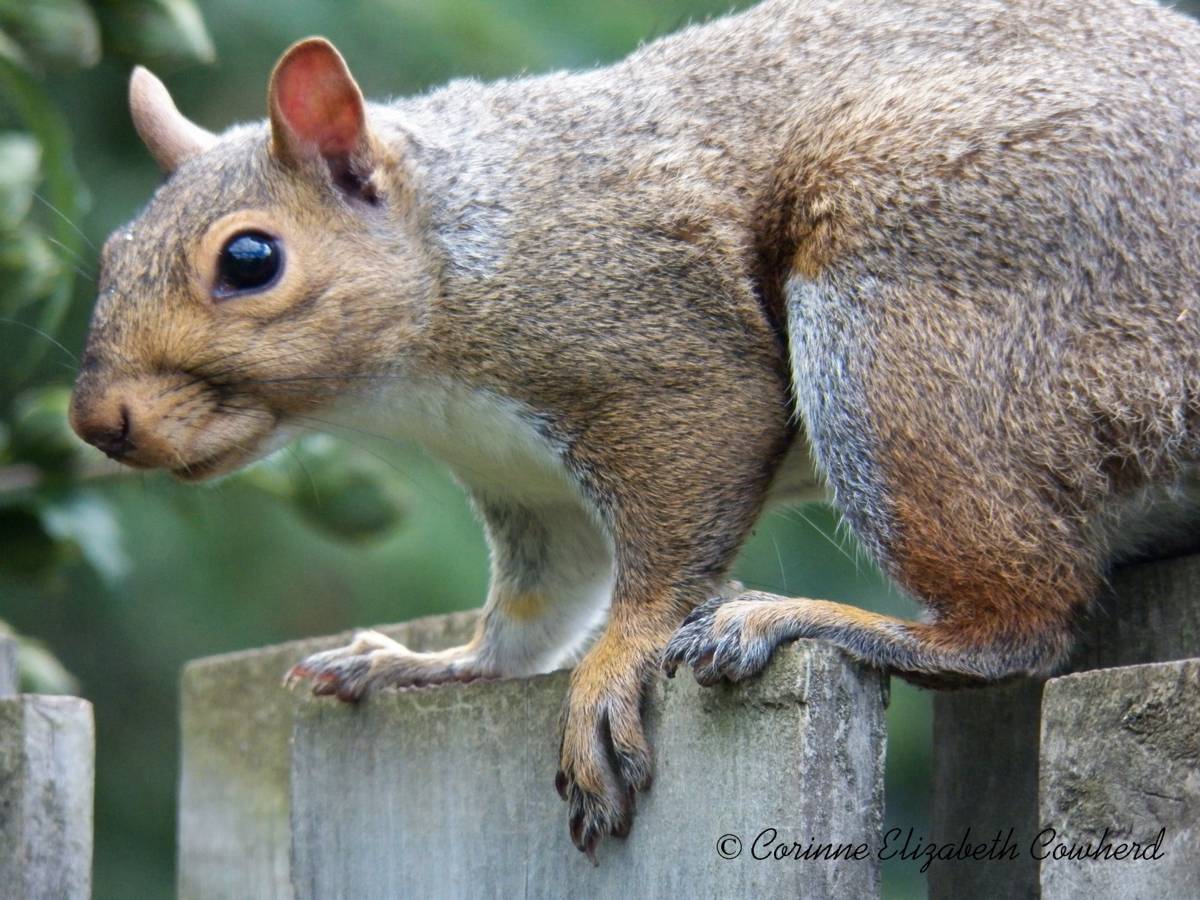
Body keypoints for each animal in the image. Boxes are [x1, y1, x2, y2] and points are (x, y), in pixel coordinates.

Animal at [68, 0, 1199, 860]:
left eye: (251, 260)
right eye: (113, 253)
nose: (97, 421)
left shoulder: (664, 362)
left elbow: (665, 547)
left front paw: (614, 667)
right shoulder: (525, 486)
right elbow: (533, 613)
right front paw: (423, 664)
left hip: (908, 327)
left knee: (1020, 626)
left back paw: (808, 617)